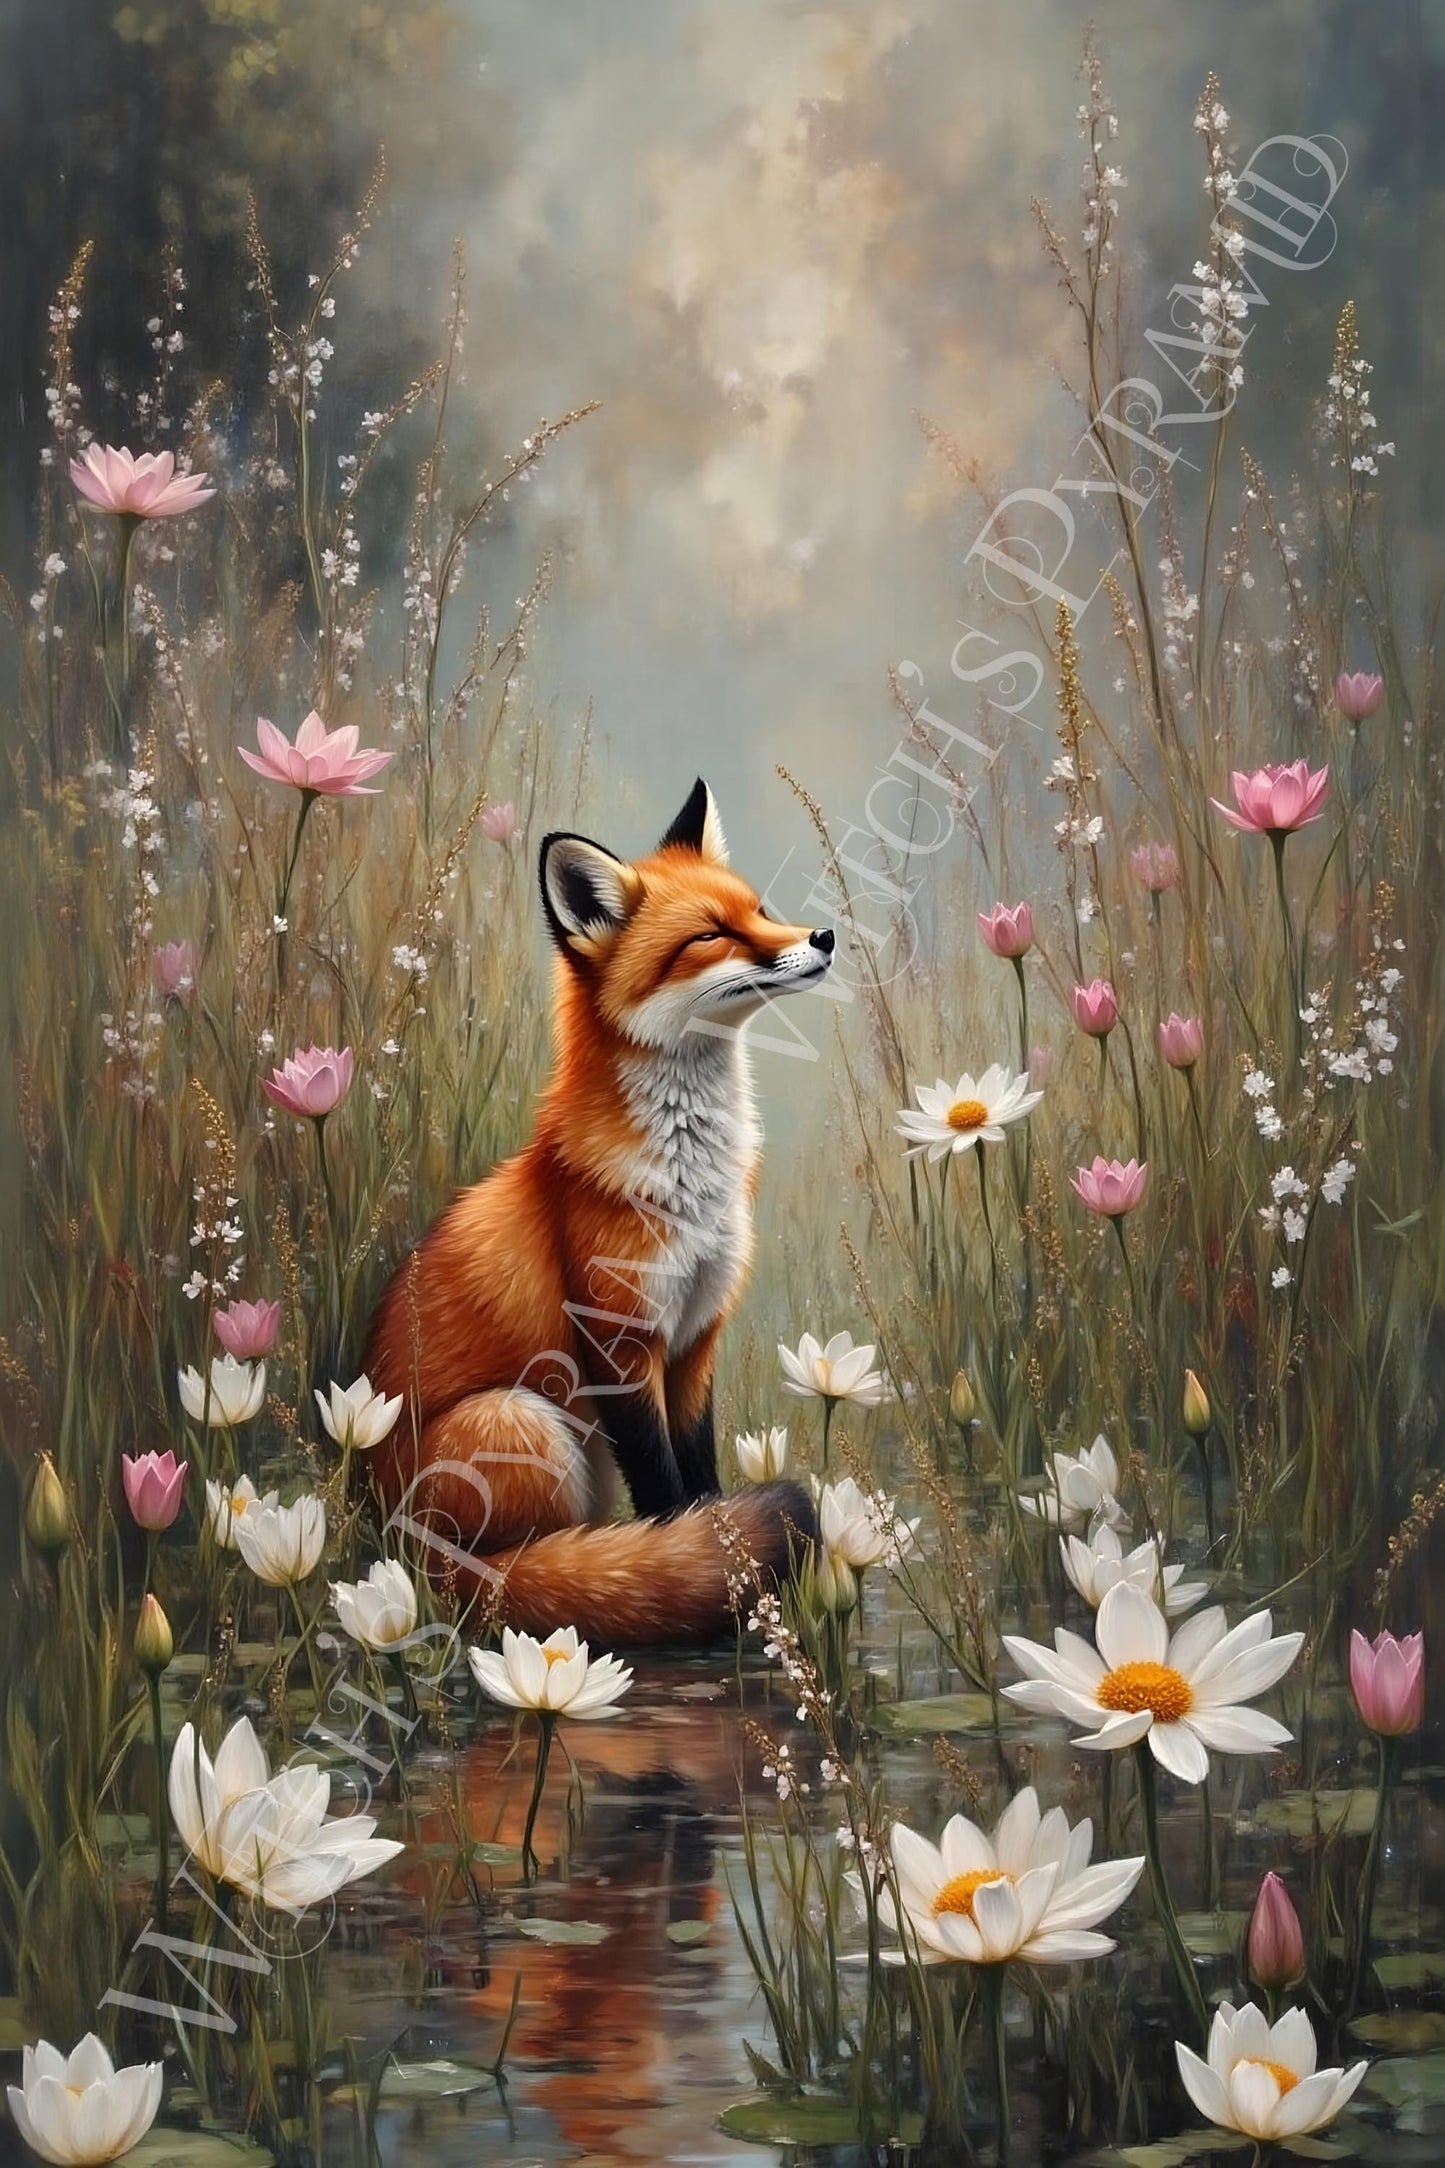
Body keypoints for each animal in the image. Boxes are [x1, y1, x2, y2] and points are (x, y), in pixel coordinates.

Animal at [364, 777, 833, 1643]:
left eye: (760, 909)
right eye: (711, 935)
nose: (821, 935)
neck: (691, 1179)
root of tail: (393, 1546)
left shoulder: (695, 1337)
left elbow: (699, 1474)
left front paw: (723, 1565)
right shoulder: (620, 1340)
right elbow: (664, 1485)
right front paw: (712, 1573)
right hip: (521, 1422)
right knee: (513, 1572)